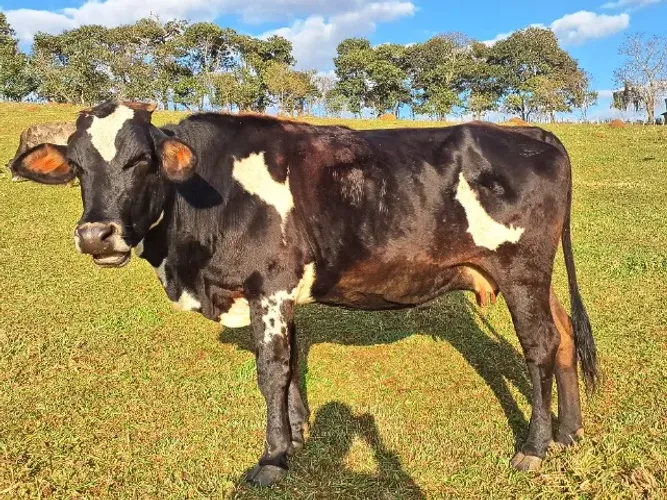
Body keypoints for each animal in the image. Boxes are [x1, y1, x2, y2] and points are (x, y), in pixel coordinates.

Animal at [12, 100, 598, 486]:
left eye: (141, 160)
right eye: (78, 167)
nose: (96, 234)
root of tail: (530, 133)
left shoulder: (269, 285)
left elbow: (271, 370)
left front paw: (272, 458)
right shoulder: (279, 295)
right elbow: (291, 364)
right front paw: (296, 434)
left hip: (521, 270)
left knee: (540, 346)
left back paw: (535, 446)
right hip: (537, 277)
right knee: (565, 334)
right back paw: (568, 431)